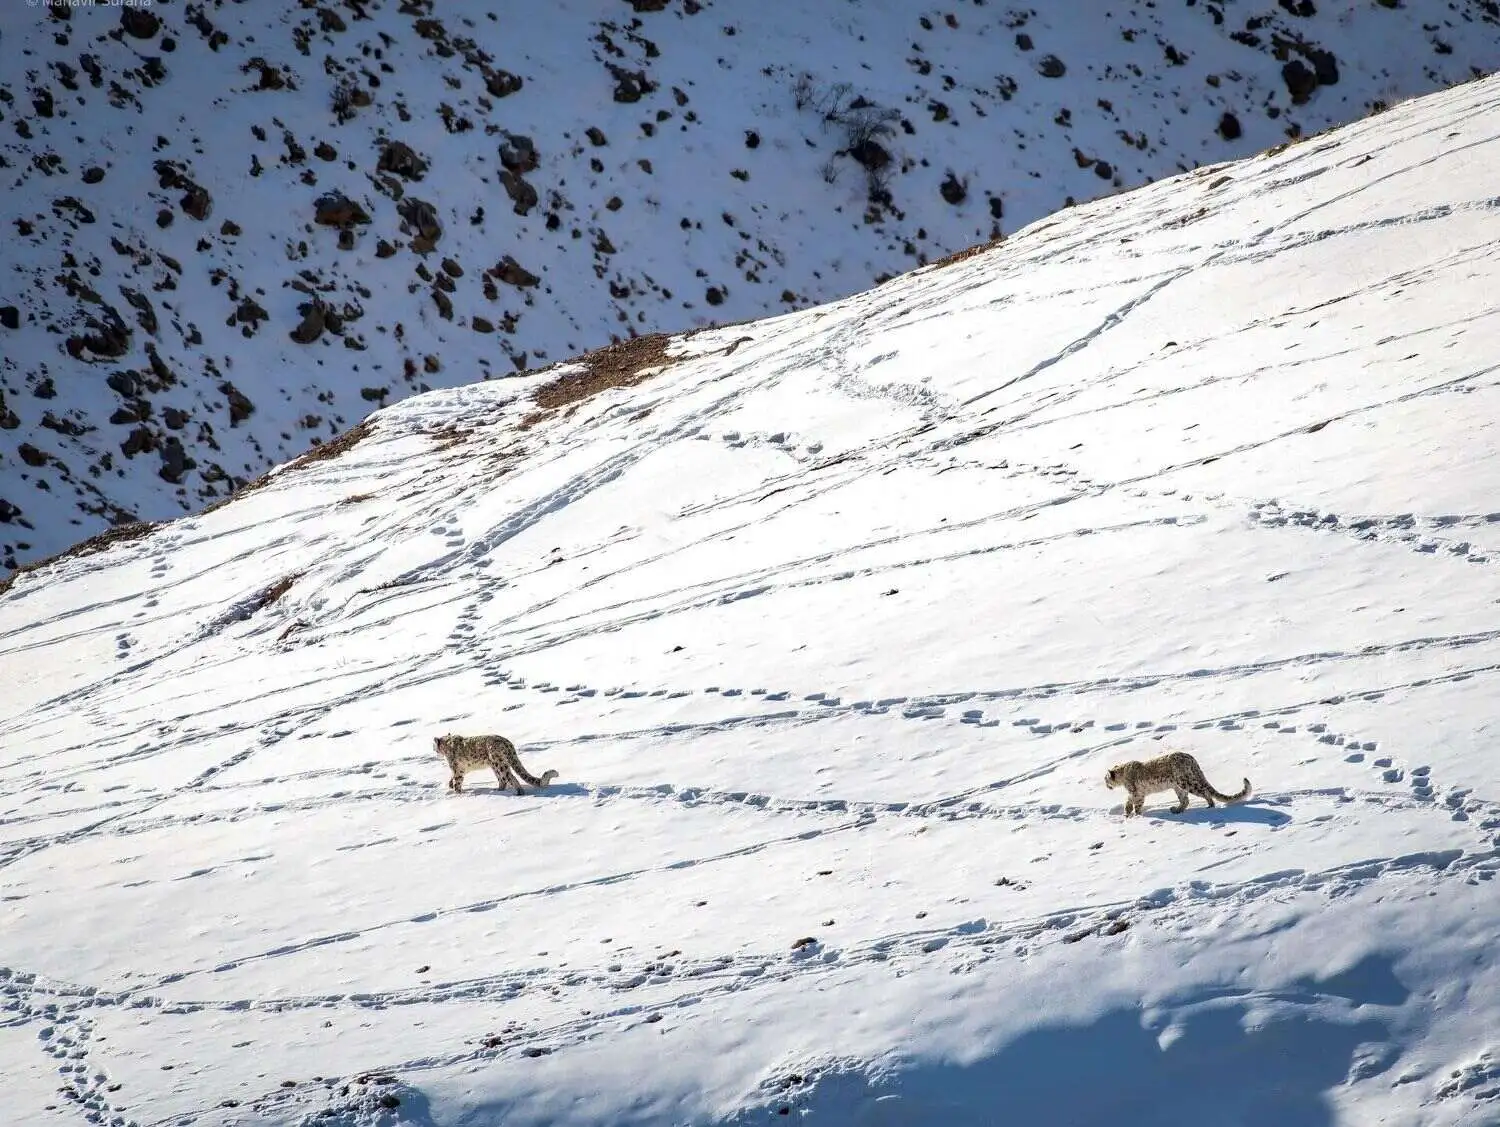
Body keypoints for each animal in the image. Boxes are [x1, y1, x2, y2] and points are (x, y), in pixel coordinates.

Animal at [1110, 753, 1248, 816]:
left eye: (1106, 779)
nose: (1106, 785)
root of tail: (1191, 758)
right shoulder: (1138, 793)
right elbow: (1133, 801)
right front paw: (1132, 813)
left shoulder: (1135, 792)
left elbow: (1133, 802)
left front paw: (1134, 814)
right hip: (1178, 787)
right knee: (1185, 800)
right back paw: (1176, 810)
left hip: (1186, 782)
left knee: (1204, 792)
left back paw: (1209, 805)